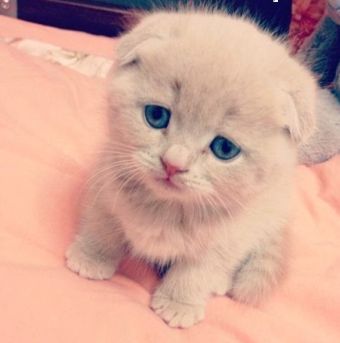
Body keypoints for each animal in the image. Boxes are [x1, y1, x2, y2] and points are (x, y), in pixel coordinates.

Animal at [64, 10, 316, 328]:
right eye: (156, 116)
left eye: (224, 149)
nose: (174, 163)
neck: (167, 208)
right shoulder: (106, 186)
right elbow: (102, 226)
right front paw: (90, 258)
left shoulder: (227, 236)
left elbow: (197, 270)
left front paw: (179, 303)